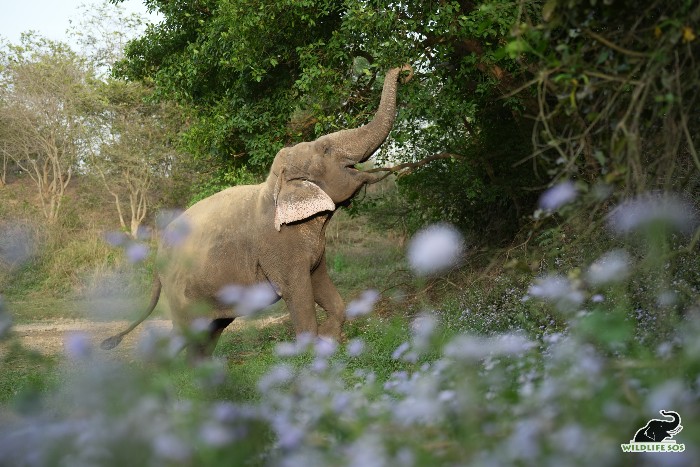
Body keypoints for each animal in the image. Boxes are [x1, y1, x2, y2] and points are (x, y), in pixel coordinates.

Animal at [101, 65, 412, 358]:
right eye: (325, 149)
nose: (404, 70)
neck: (274, 185)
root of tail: (157, 262)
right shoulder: (279, 246)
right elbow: (297, 291)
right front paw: (311, 356)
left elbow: (326, 290)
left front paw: (328, 341)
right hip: (182, 295)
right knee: (186, 336)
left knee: (208, 334)